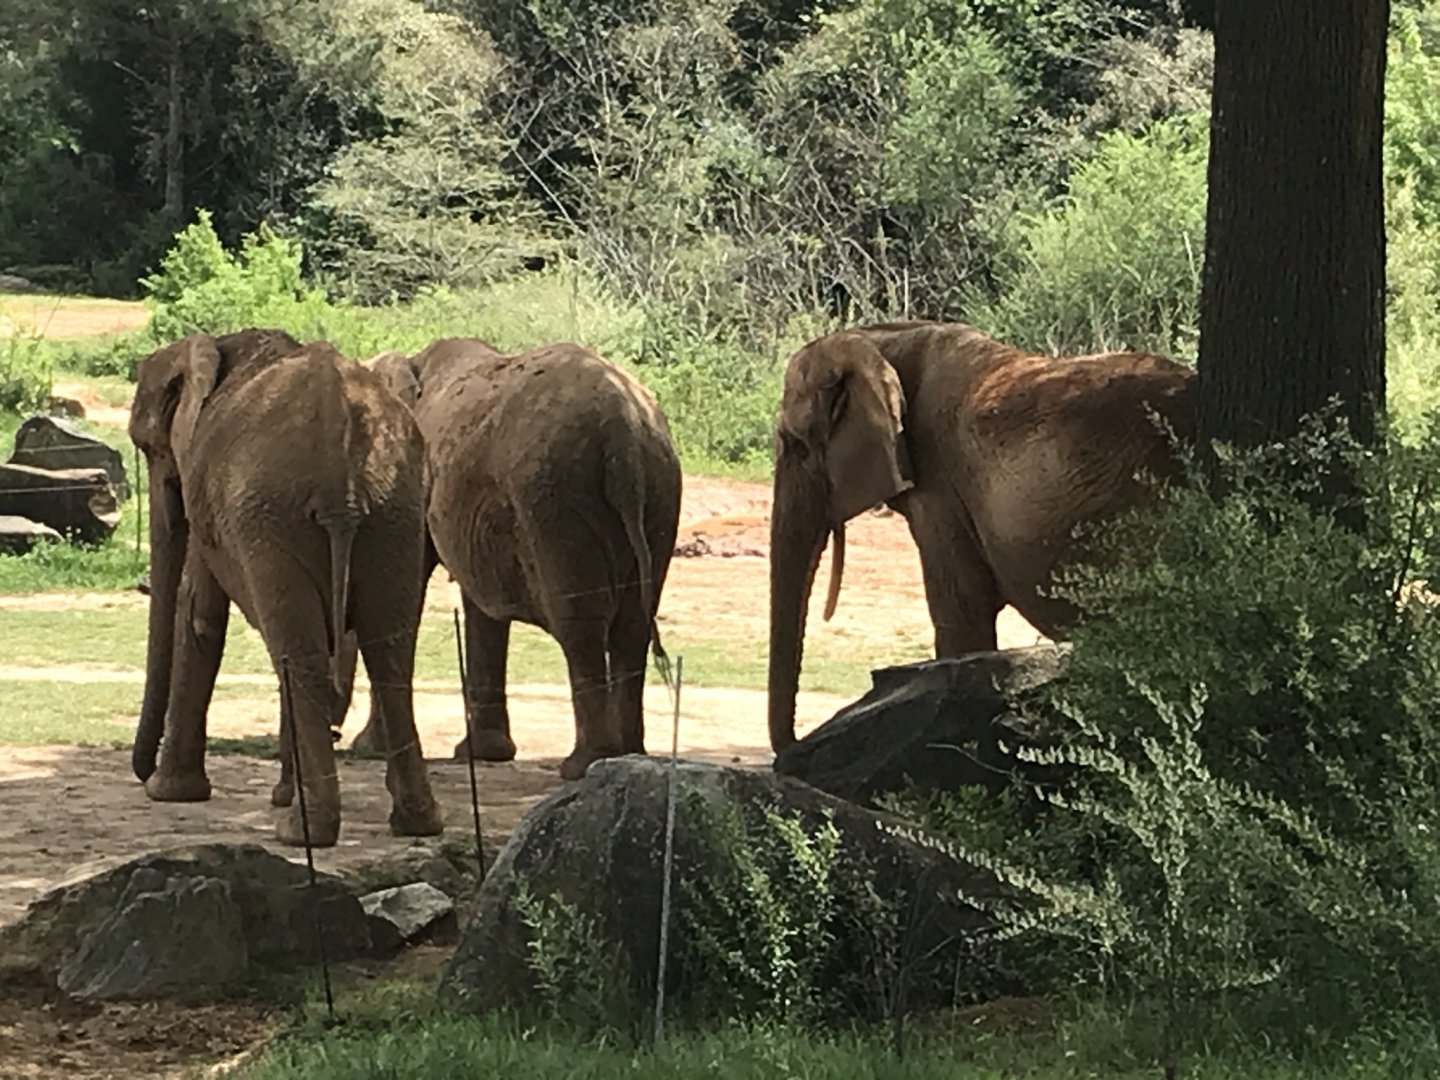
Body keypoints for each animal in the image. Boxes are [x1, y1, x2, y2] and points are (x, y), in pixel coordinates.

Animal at [128, 327, 443, 847]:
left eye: (149, 447)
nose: (140, 772)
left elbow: (199, 613)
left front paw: (170, 792)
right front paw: (278, 793)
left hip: (273, 513)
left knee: (302, 656)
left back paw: (302, 830)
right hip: (397, 508)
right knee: (389, 652)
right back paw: (416, 822)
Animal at [358, 338, 683, 781]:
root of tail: (625, 432)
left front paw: (367, 749)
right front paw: (485, 752)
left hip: (554, 494)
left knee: (580, 623)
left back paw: (582, 765)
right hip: (659, 492)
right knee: (633, 623)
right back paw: (626, 757)